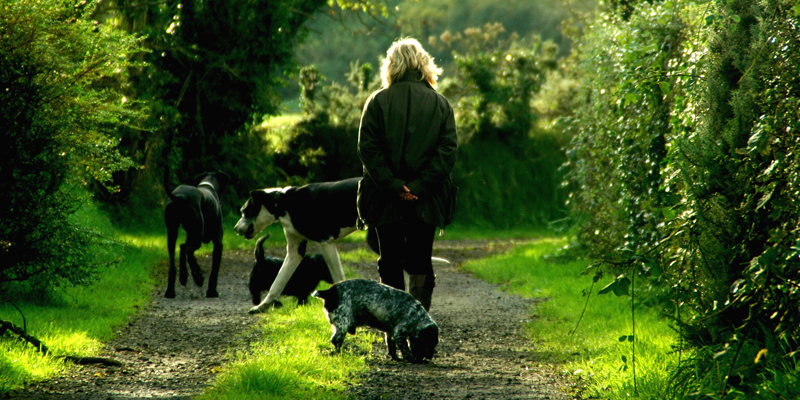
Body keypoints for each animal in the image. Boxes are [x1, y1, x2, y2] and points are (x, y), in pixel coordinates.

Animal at [161, 170, 227, 298]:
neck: (208, 185)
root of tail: (180, 197)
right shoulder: (218, 243)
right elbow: (214, 270)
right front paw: (212, 291)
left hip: (172, 233)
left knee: (175, 260)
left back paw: (172, 289)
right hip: (197, 236)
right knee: (184, 248)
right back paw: (191, 276)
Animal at [231, 177, 356, 312]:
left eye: (244, 211)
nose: (235, 228)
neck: (282, 203)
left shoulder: (325, 243)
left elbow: (339, 277)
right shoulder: (294, 253)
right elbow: (277, 284)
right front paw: (263, 306)